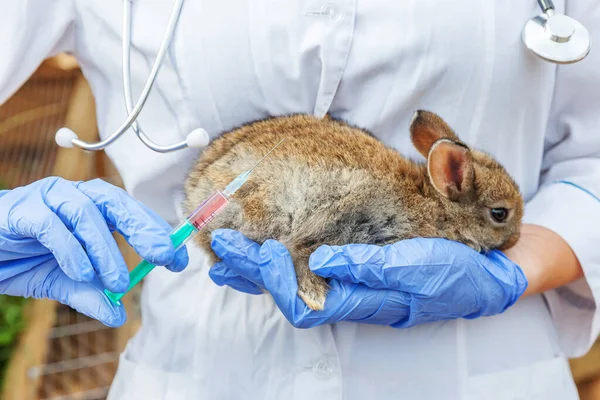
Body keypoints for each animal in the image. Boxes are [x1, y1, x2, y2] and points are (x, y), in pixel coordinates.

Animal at [183, 111, 524, 310]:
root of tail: (195, 196)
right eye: (500, 214)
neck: (434, 202)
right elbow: (298, 250)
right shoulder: (344, 211)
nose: (517, 240)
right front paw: (316, 299)